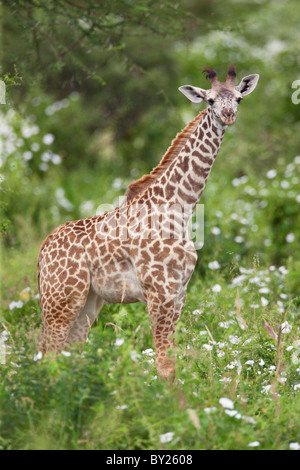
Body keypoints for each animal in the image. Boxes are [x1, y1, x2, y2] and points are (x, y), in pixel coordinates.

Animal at [37, 65, 258, 382]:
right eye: (210, 100)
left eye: (239, 98)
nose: (228, 116)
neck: (180, 208)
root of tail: (42, 251)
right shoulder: (159, 293)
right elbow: (164, 365)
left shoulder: (179, 294)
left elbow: (171, 361)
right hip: (62, 299)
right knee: (50, 356)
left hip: (88, 301)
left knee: (69, 355)